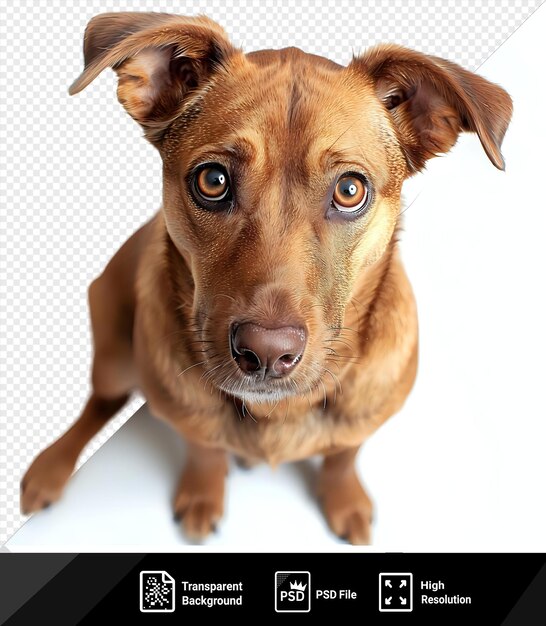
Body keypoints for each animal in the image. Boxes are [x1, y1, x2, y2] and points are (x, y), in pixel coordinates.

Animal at [20, 12, 510, 544]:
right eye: (212, 180)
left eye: (350, 189)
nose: (267, 353)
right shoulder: (186, 415)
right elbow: (204, 449)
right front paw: (203, 493)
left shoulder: (363, 420)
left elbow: (343, 454)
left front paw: (344, 499)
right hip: (115, 353)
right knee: (98, 404)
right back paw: (49, 469)